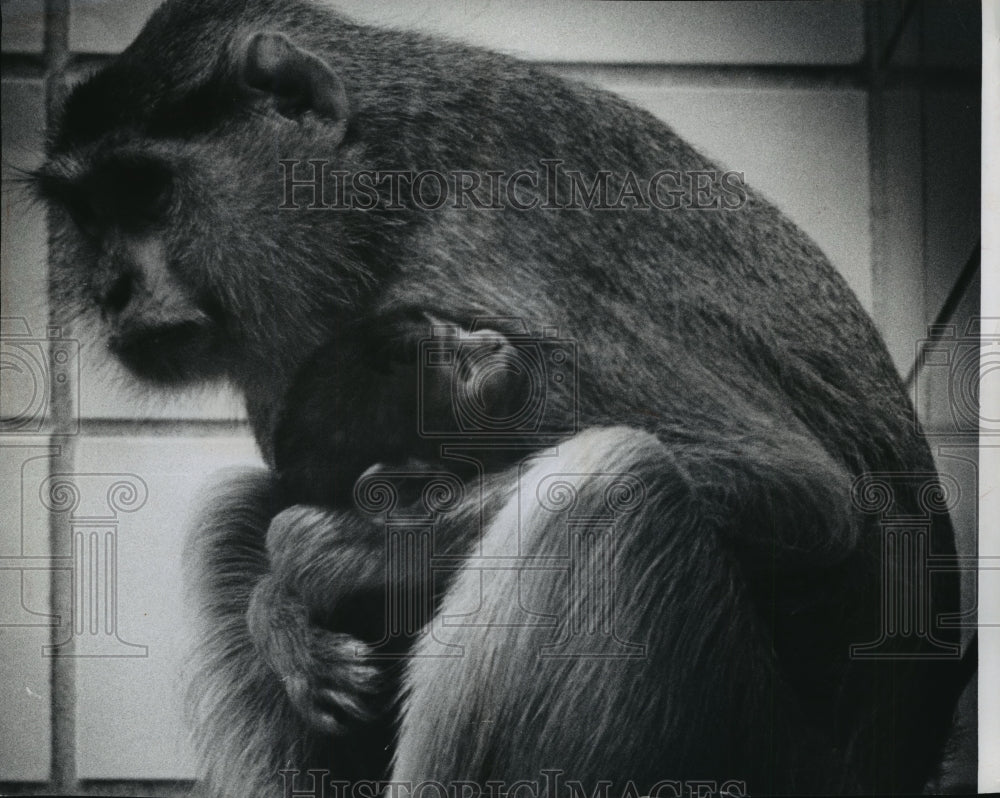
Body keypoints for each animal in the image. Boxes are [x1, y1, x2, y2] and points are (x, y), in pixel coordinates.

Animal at [35, 0, 964, 796]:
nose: (113, 290)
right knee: (236, 505)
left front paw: (308, 568)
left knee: (611, 490)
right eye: (90, 214)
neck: (381, 186)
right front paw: (286, 611)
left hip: (767, 760)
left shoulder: (484, 266)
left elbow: (803, 498)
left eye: (147, 193)